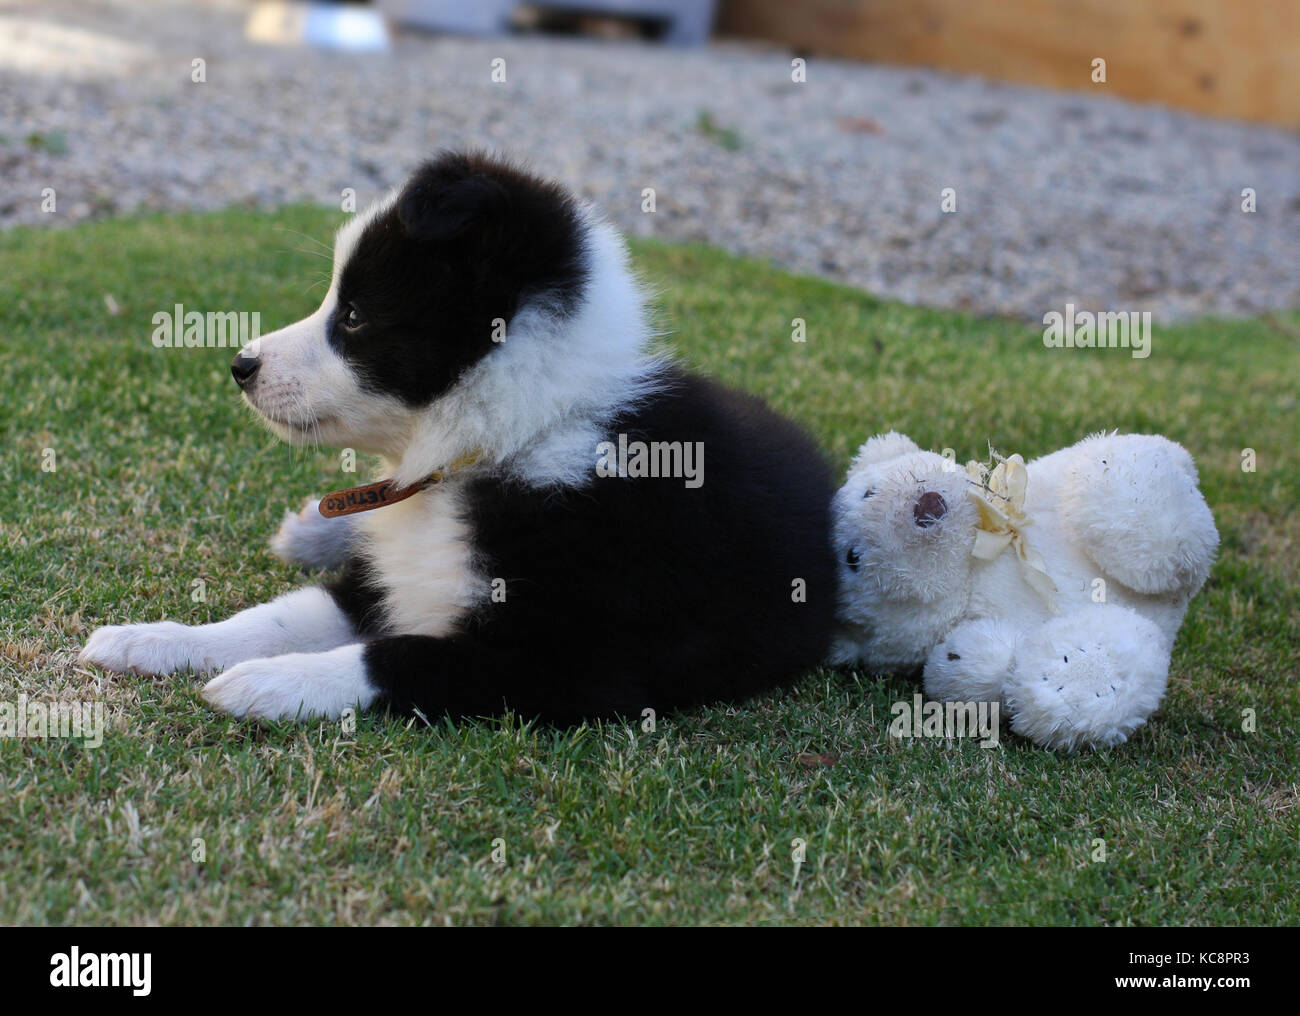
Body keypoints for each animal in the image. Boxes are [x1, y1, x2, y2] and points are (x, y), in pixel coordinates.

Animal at [81, 151, 837, 727]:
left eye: (353, 316)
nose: (241, 366)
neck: (507, 441)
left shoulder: (573, 662)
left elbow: (392, 657)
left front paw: (272, 683)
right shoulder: (378, 585)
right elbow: (272, 617)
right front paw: (154, 640)